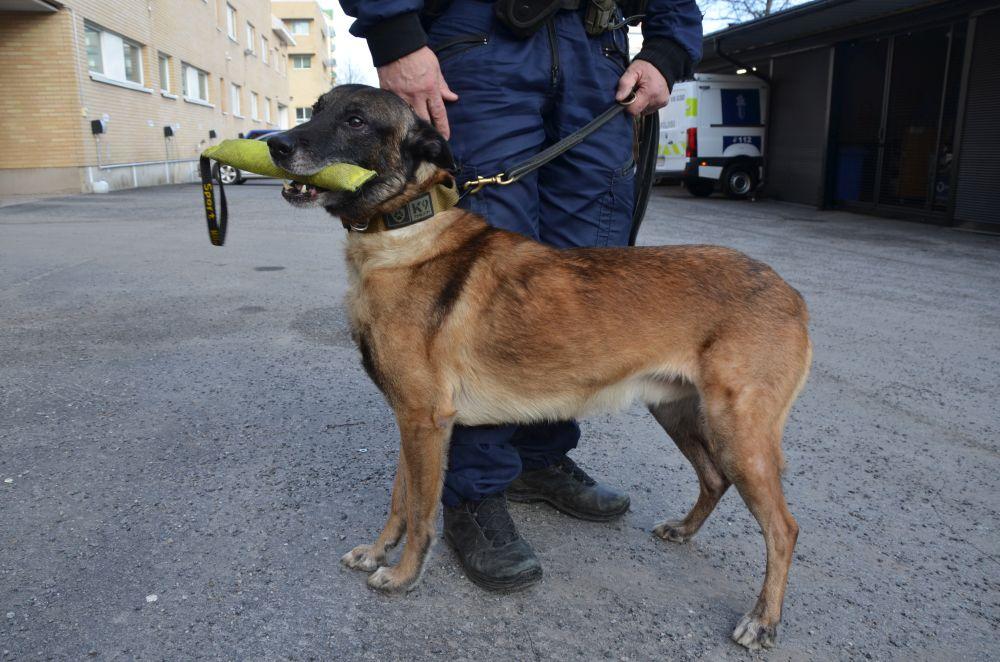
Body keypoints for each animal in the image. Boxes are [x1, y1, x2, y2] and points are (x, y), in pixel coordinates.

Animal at [272, 85, 812, 652]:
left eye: (355, 120)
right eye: (317, 108)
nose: (274, 145)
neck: (403, 232)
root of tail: (790, 293)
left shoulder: (424, 422)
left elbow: (420, 513)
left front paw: (402, 576)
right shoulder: (411, 422)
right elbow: (400, 502)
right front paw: (378, 553)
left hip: (738, 433)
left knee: (783, 528)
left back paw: (764, 619)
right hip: (678, 412)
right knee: (713, 478)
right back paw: (685, 532)